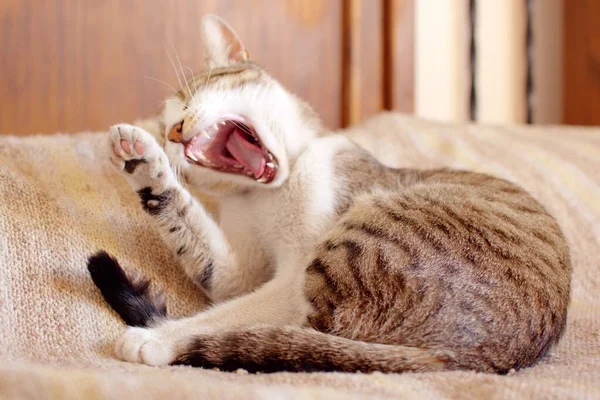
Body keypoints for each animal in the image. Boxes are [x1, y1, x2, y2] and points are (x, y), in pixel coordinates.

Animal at [85, 14, 572, 374]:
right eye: (167, 128)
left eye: (191, 96)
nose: (174, 131)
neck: (266, 194)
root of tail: (481, 358)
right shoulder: (237, 272)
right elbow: (196, 238)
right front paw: (142, 163)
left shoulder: (291, 276)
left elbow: (232, 315)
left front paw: (158, 337)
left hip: (360, 243)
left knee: (288, 335)